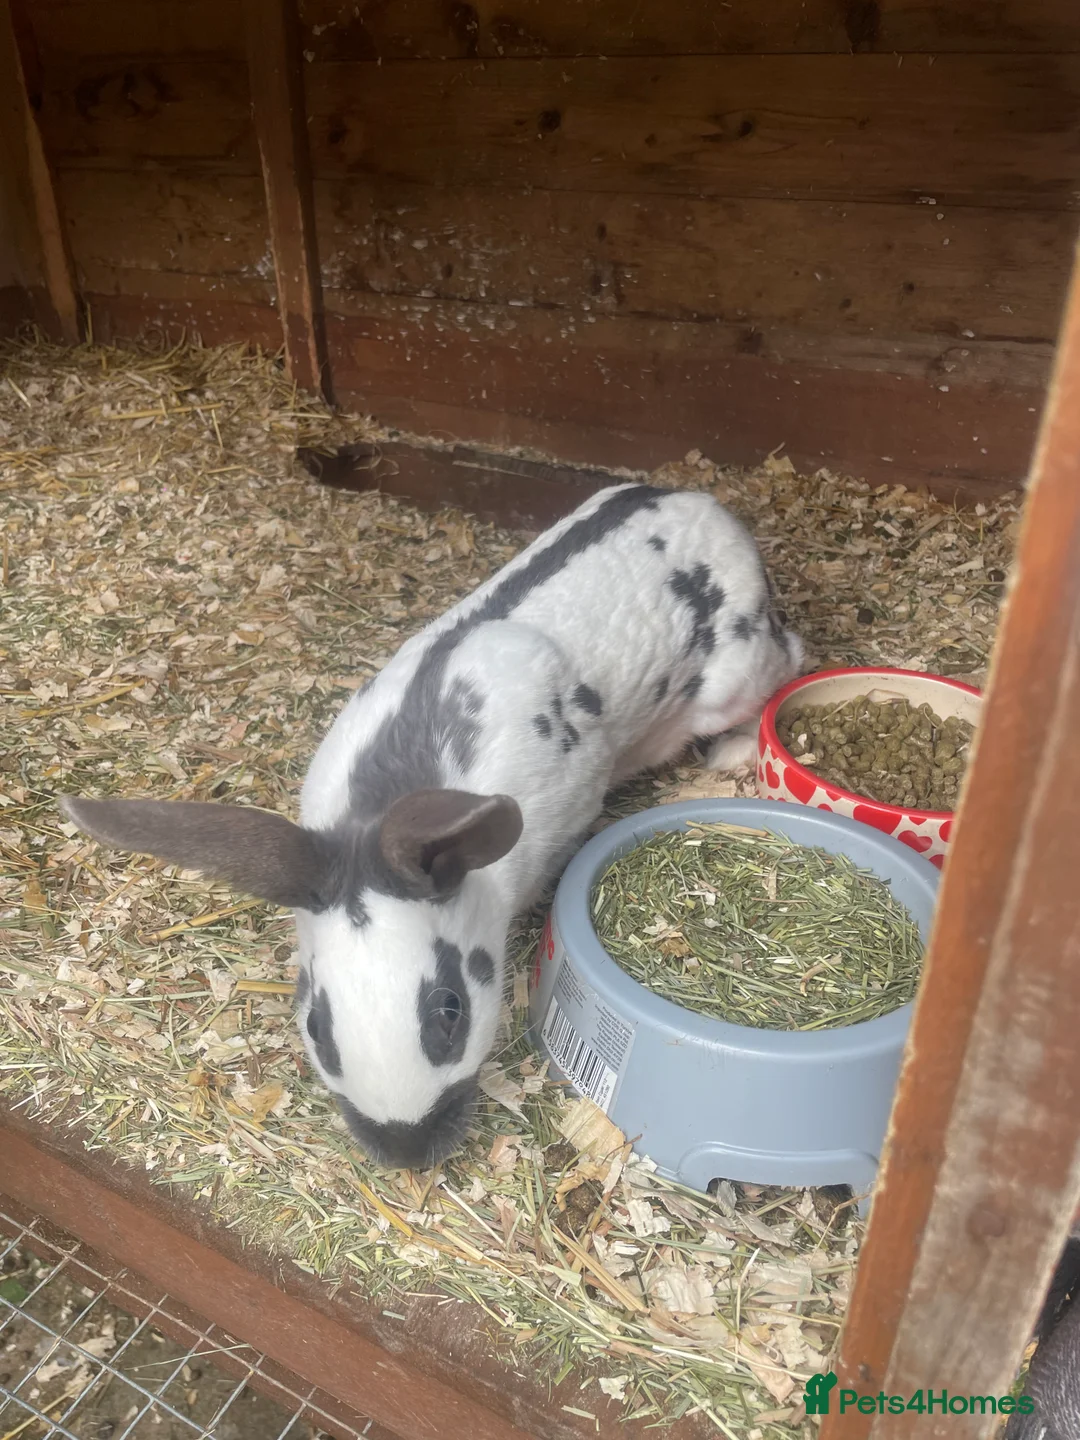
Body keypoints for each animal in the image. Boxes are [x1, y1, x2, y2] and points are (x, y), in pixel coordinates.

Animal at [62, 482, 803, 1170]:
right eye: (317, 1025)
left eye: (450, 1011)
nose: (406, 1152)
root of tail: (699, 502)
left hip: (738, 674)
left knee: (788, 659)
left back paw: (736, 752)